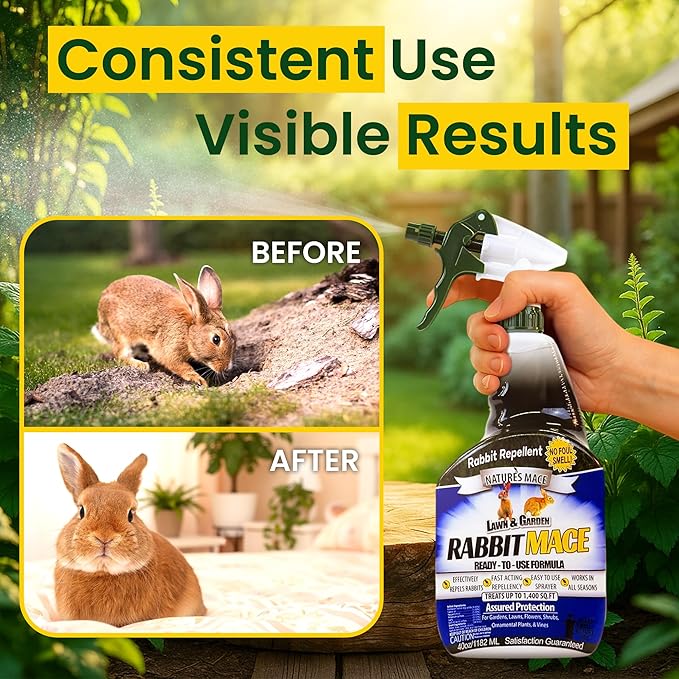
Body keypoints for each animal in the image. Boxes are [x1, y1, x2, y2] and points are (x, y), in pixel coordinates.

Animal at [92, 265, 236, 387]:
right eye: (216, 339)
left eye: (233, 336)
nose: (227, 367)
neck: (188, 331)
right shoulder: (170, 349)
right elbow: (179, 366)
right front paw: (198, 379)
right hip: (120, 333)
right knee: (120, 354)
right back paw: (141, 364)